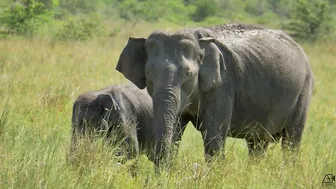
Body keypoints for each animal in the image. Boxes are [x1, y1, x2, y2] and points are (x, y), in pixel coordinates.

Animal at [116, 22, 316, 166]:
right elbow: (176, 129)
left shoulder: (223, 84)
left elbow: (214, 133)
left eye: (188, 74)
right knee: (258, 144)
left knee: (291, 140)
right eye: (149, 74)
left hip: (304, 90)